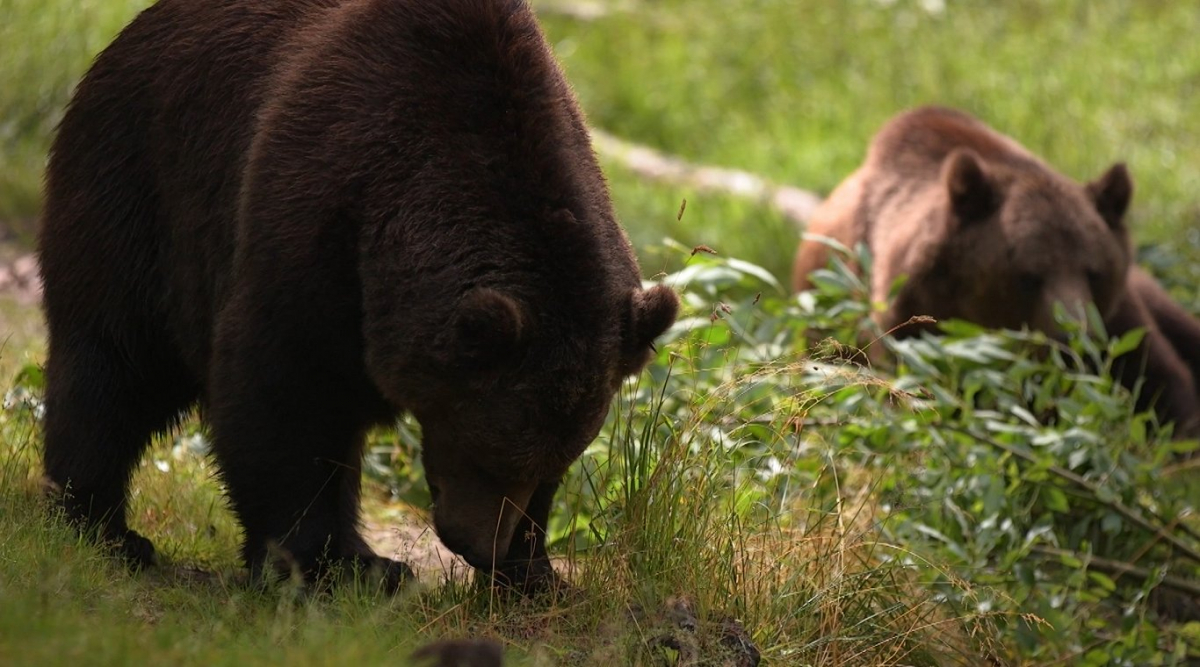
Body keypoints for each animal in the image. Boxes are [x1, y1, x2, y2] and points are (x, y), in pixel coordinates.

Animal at [37, 0, 681, 595]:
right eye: (484, 453)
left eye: (553, 464)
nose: (478, 545)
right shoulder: (316, 229)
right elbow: (285, 401)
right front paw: (321, 566)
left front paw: (535, 573)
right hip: (141, 196)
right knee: (114, 365)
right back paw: (105, 527)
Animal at [796, 105, 1200, 436]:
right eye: (1027, 276)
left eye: (1095, 271)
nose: (1072, 338)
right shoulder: (907, 326)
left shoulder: (1117, 320)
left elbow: (1160, 381)